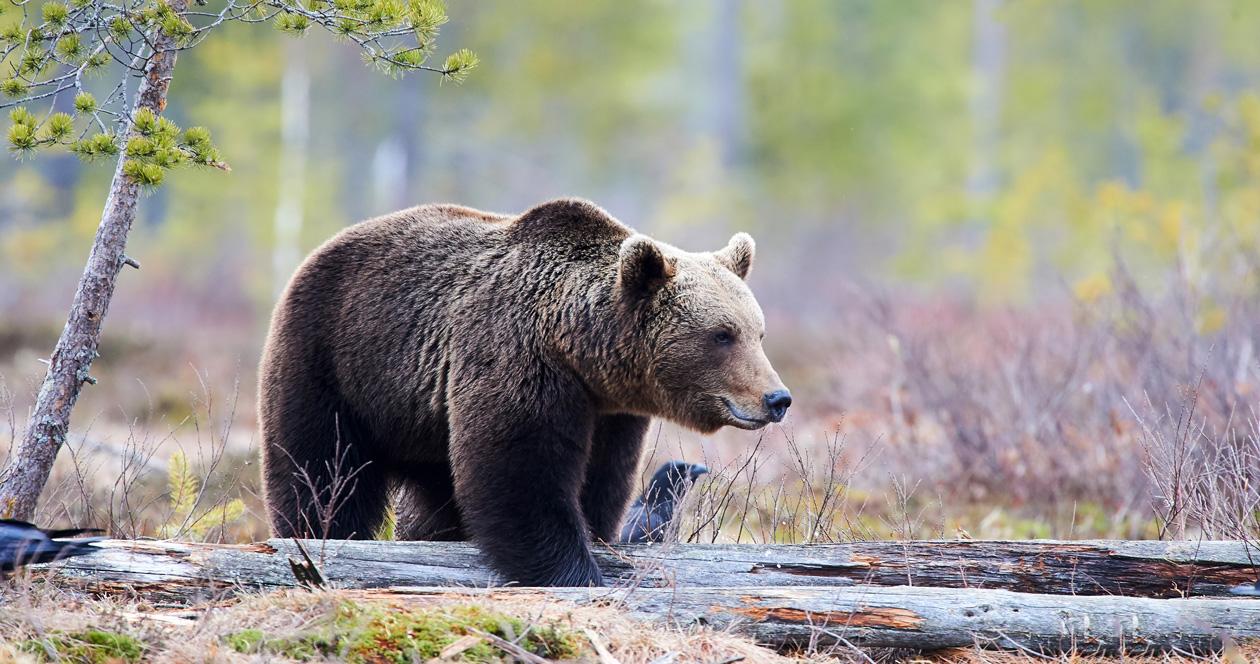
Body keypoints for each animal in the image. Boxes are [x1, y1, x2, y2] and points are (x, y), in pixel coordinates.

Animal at [258, 198, 791, 586]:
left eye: (757, 332)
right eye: (722, 335)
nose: (777, 399)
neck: (578, 349)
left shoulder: (610, 412)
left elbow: (601, 481)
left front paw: (598, 542)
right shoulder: (516, 357)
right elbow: (520, 472)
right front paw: (578, 573)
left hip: (423, 425)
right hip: (335, 361)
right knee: (321, 468)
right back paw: (319, 536)